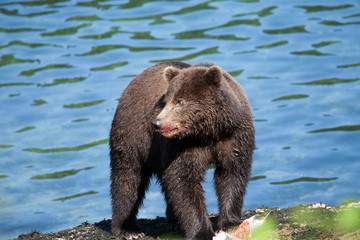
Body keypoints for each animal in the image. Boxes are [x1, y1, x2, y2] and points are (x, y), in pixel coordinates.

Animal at [109, 61, 253, 239]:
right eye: (166, 101)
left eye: (180, 101)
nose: (157, 122)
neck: (208, 131)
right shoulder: (182, 146)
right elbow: (183, 180)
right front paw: (201, 231)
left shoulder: (233, 136)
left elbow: (232, 172)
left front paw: (231, 221)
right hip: (133, 134)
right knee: (128, 177)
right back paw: (128, 229)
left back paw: (174, 221)